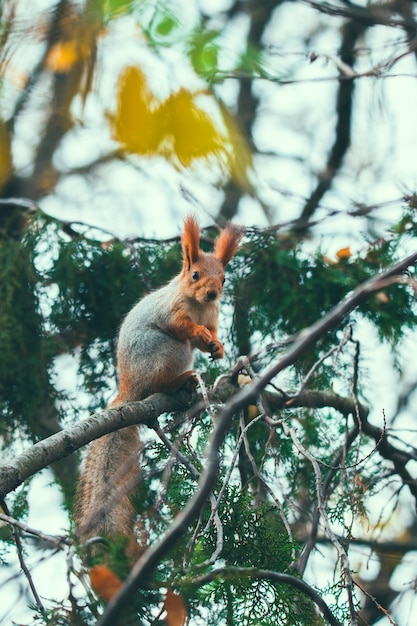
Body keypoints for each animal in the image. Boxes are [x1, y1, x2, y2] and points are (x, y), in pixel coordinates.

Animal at [75, 217, 240, 548]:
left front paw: (217, 346)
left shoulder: (213, 315)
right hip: (167, 350)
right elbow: (182, 326)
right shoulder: (171, 311)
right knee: (158, 382)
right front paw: (199, 333)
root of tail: (129, 385)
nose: (212, 294)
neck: (199, 306)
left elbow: (212, 334)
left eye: (224, 278)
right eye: (195, 274)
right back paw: (180, 381)